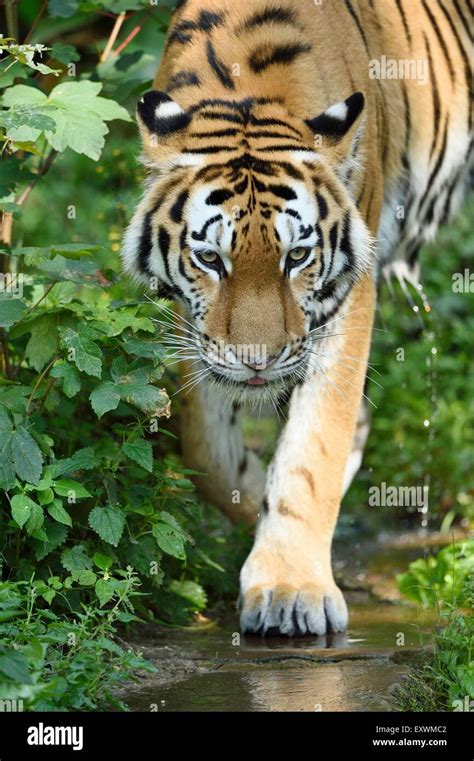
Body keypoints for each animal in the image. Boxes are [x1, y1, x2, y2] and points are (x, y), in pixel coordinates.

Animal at [121, 1, 470, 636]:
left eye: (298, 256)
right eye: (211, 259)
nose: (258, 362)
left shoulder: (350, 296)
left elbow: (314, 448)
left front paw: (290, 585)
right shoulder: (195, 325)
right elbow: (207, 446)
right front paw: (255, 507)